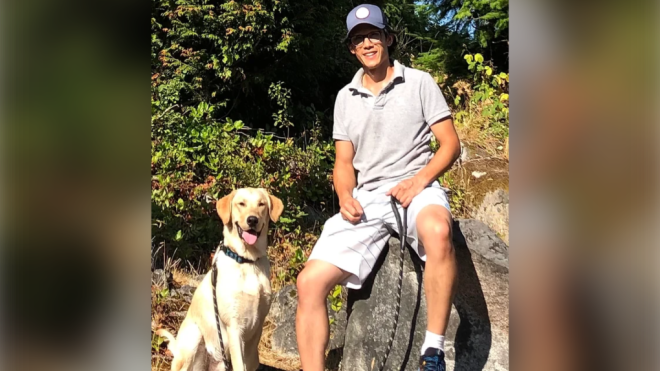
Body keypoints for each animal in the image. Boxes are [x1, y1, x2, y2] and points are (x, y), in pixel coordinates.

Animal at [160, 189, 286, 371]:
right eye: (241, 203)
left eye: (261, 204)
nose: (252, 219)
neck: (247, 260)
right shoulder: (234, 327)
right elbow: (240, 364)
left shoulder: (257, 329)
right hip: (193, 338)